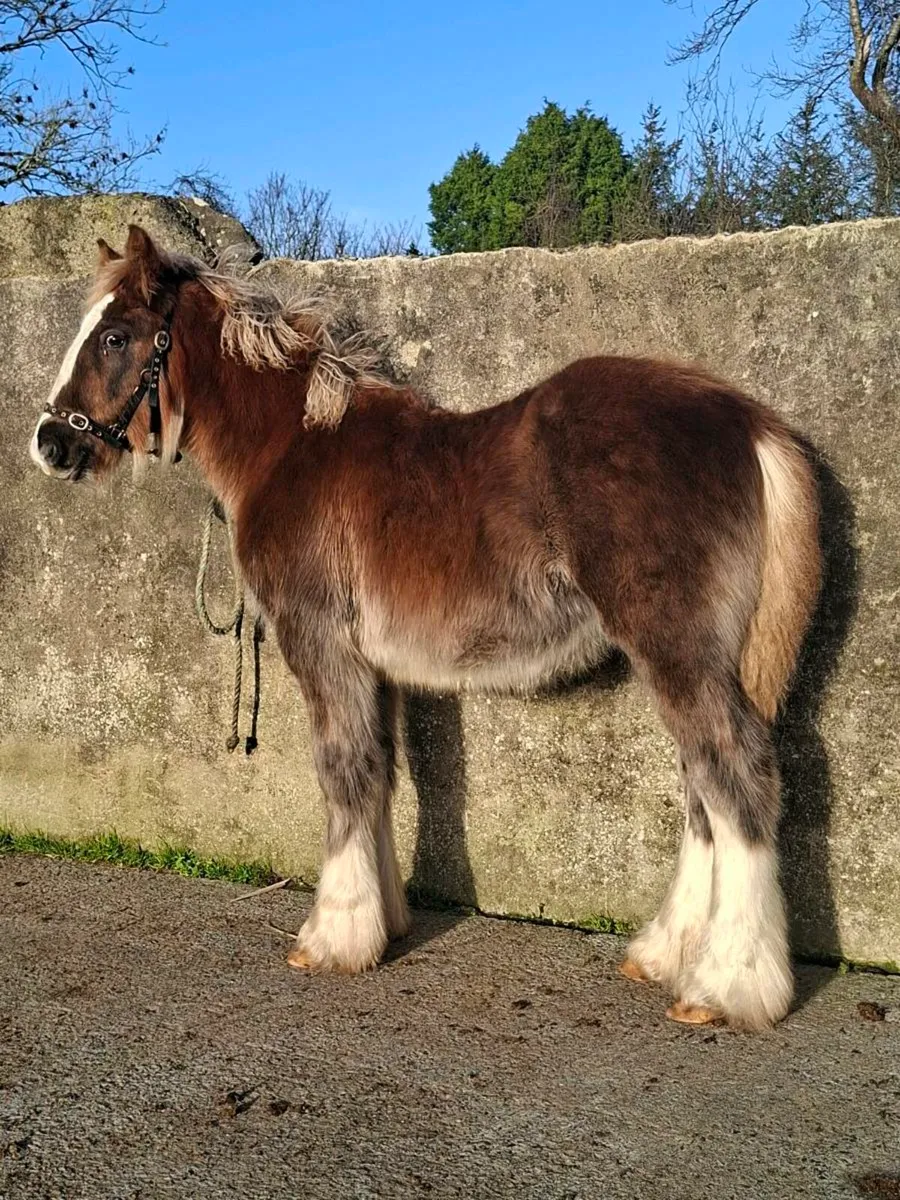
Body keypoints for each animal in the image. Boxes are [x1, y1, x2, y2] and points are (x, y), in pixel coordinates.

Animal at [29, 225, 821, 1030]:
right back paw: (664, 953)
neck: (292, 447)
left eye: (116, 336)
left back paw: (728, 985)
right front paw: (384, 921)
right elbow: (380, 772)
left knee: (736, 778)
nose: (50, 444)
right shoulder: (373, 667)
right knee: (703, 789)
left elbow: (343, 772)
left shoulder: (322, 647)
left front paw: (333, 937)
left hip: (678, 652)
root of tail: (747, 423)